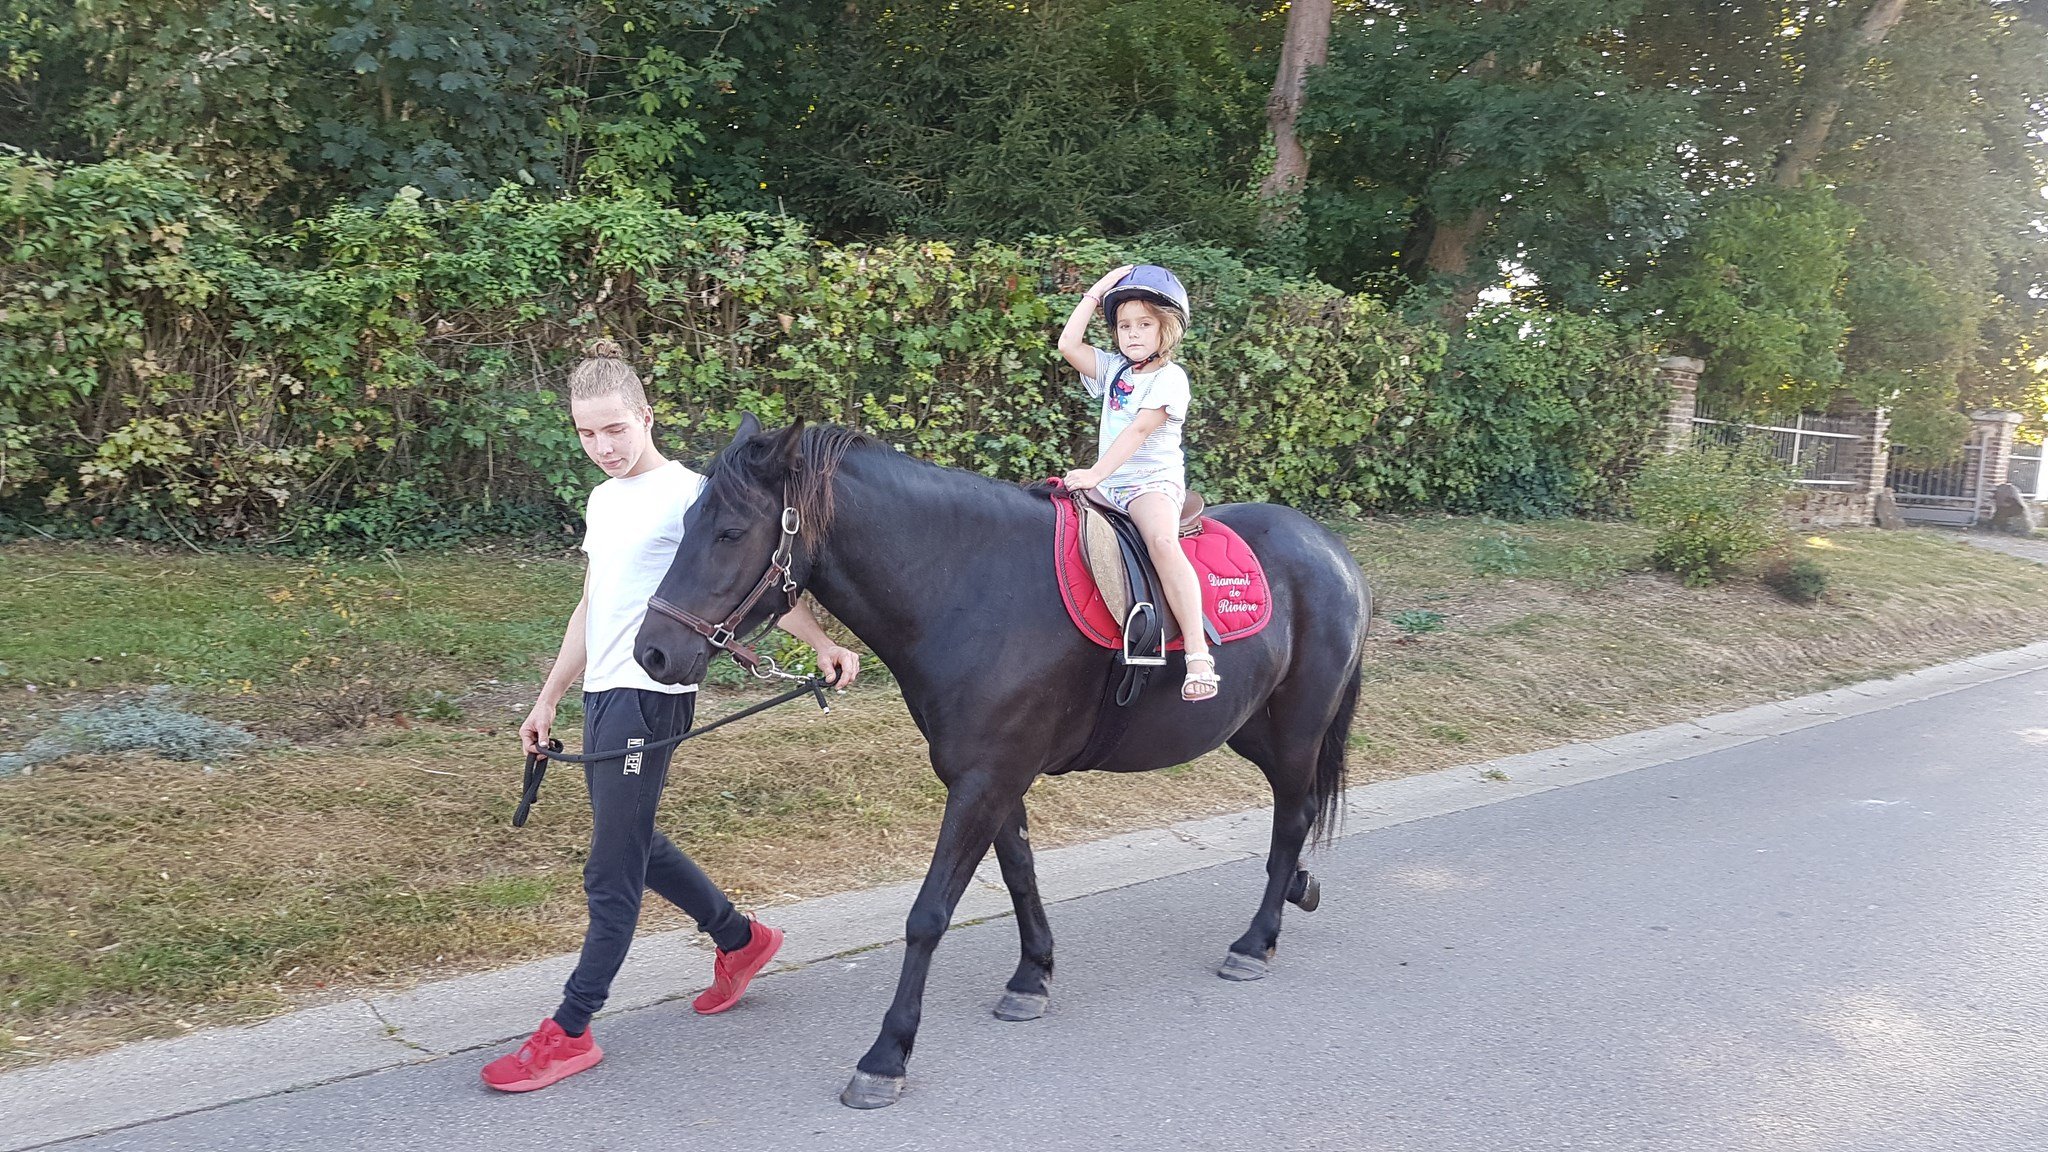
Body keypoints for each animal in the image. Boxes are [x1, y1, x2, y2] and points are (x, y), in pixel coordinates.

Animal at [634, 417, 1372, 1109]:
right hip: (1250, 727)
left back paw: (1256, 940)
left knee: (1294, 816)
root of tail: (1332, 550)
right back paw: (1294, 892)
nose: (654, 653)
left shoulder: (983, 781)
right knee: (1294, 815)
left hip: (1297, 728)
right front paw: (1032, 976)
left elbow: (929, 914)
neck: (971, 587)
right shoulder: (994, 776)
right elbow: (1019, 874)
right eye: (686, 524)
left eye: (731, 532)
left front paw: (886, 1056)